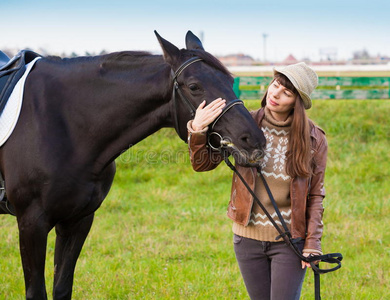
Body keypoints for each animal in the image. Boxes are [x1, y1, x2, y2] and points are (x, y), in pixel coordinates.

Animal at [0, 31, 266, 300]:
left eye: (230, 80)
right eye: (194, 86)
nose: (254, 139)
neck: (63, 122)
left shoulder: (77, 220)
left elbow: (62, 288)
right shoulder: (31, 223)